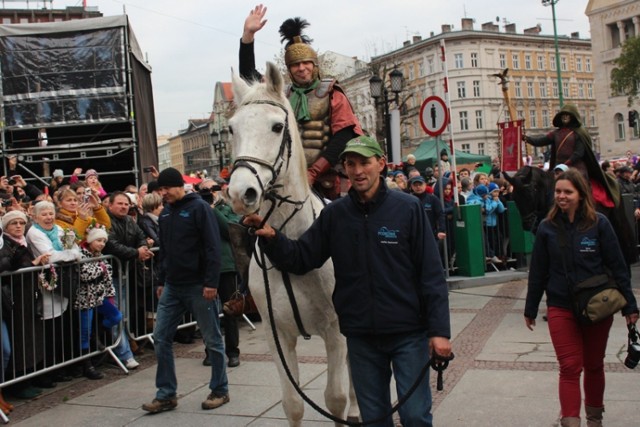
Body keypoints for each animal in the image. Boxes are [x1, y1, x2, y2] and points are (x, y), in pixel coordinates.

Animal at [226, 61, 360, 426]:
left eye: (276, 126)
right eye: (231, 129)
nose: (240, 193)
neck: (294, 246)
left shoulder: (336, 330)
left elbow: (335, 398)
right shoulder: (277, 337)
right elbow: (293, 403)